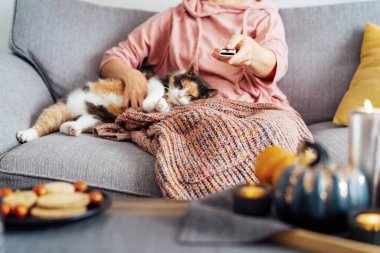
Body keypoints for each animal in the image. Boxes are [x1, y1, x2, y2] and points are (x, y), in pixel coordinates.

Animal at [16, 65, 215, 143]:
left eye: (192, 96)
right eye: (181, 84)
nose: (180, 95)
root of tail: (75, 110)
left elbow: (164, 105)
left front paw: (160, 106)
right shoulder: (153, 80)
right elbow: (157, 89)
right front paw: (151, 102)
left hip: (94, 116)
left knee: (66, 125)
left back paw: (72, 128)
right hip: (62, 107)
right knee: (46, 121)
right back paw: (25, 134)